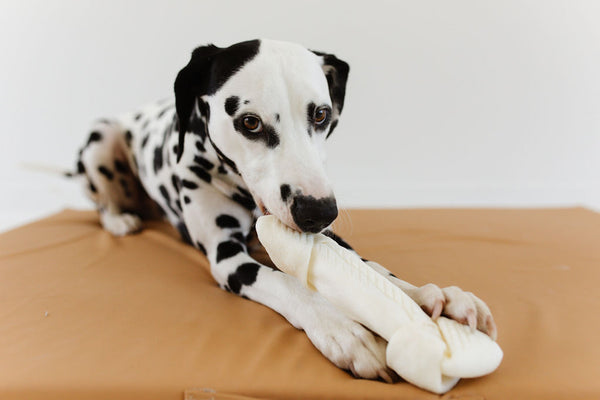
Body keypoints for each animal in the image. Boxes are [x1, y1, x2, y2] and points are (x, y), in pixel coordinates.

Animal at [71, 39, 496, 382]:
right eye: (249, 122)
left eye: (321, 114)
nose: (318, 211)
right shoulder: (228, 256)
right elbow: (287, 284)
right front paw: (343, 329)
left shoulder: (329, 237)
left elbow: (372, 269)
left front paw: (432, 295)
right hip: (100, 138)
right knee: (102, 199)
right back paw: (120, 219)